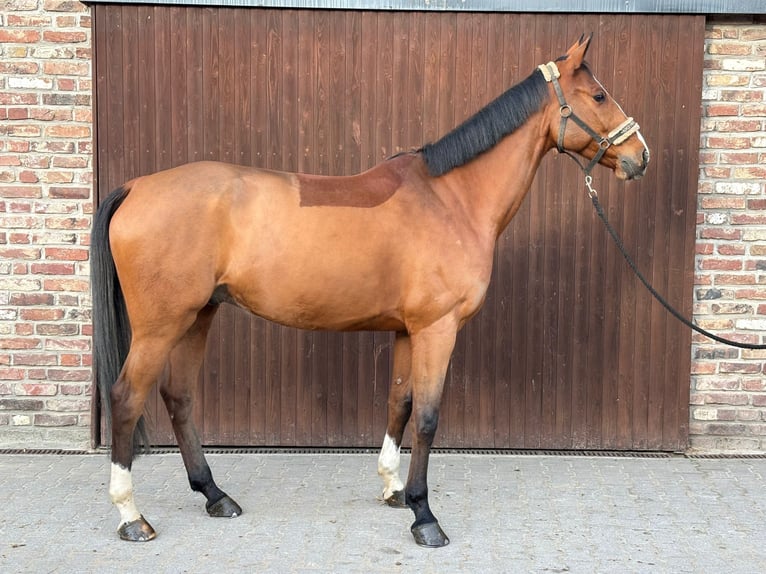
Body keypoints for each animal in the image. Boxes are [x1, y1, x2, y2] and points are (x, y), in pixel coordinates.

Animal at [91, 35, 649, 547]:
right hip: (161, 325)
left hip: (199, 315)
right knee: (126, 398)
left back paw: (214, 495)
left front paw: (393, 489)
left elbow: (398, 403)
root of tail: (137, 187)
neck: (451, 198)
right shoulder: (438, 330)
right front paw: (425, 517)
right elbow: (427, 417)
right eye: (598, 95)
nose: (639, 157)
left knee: (178, 396)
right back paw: (131, 517)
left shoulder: (407, 330)